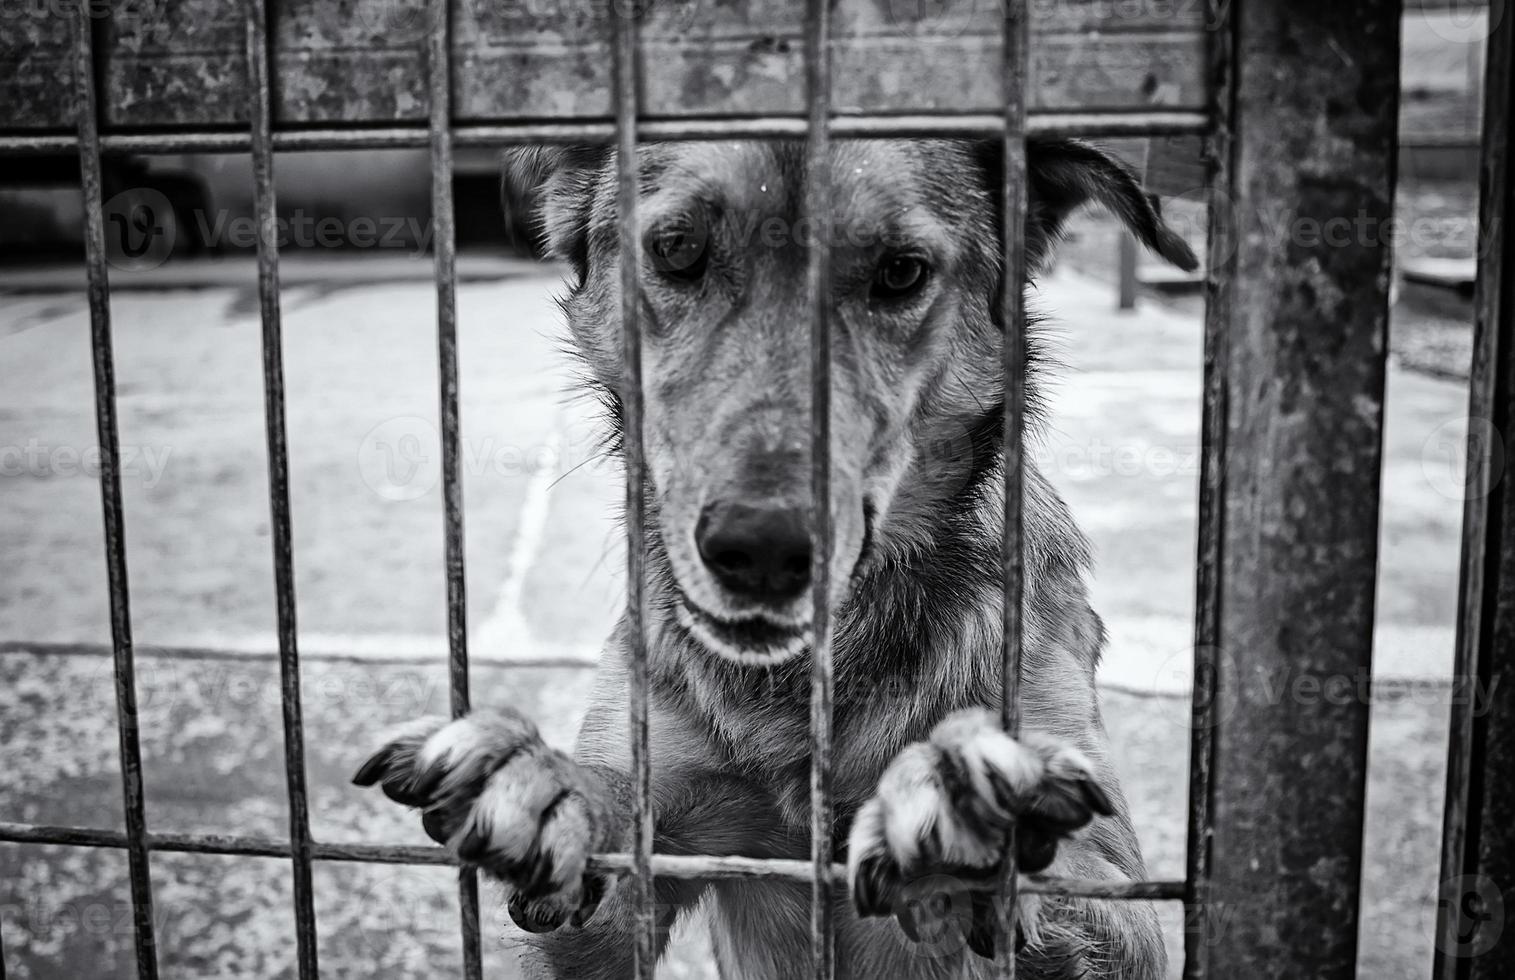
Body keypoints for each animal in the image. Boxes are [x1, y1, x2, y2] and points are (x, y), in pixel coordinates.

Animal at [351, 137, 1193, 980]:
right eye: (676, 249)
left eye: (900, 272)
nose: (760, 548)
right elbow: (614, 832)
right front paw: (561, 789)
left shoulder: (1119, 893)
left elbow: (1074, 879)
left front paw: (964, 808)